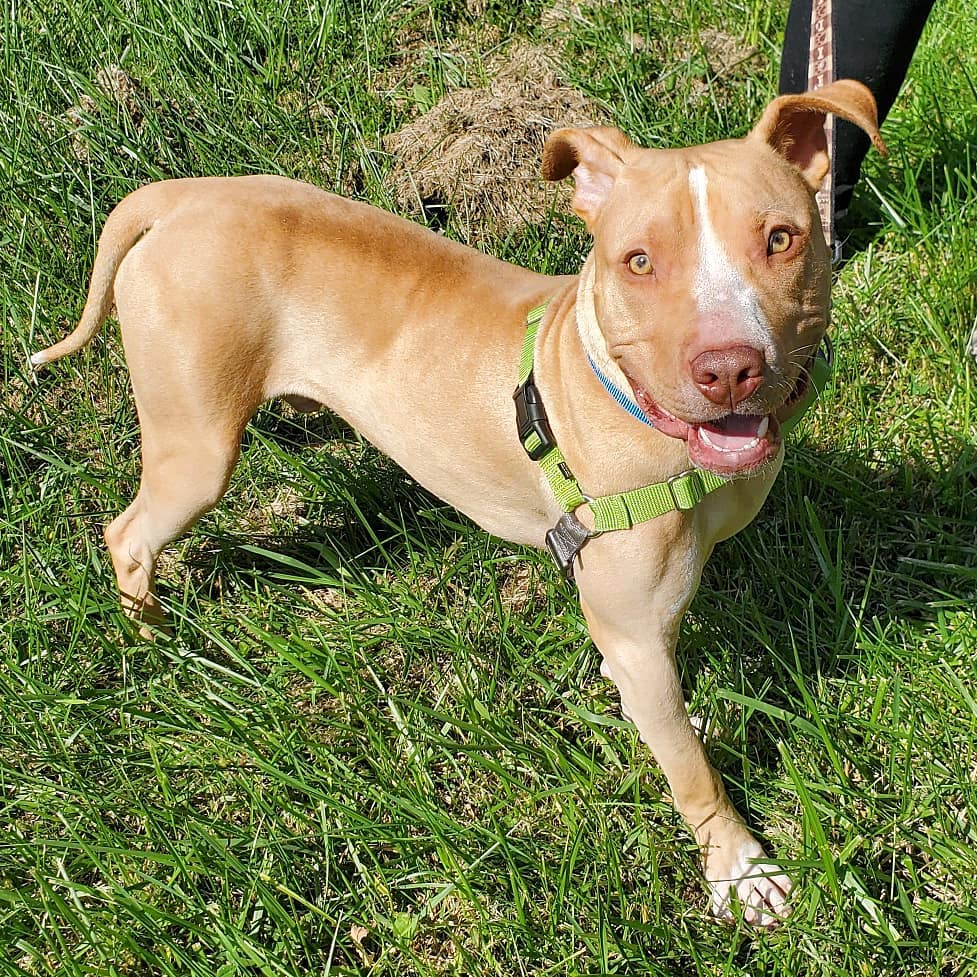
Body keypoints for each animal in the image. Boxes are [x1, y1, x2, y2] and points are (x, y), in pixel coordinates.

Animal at [32, 82, 884, 924]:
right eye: (638, 261)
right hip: (196, 451)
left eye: (780, 239)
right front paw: (737, 869)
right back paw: (153, 635)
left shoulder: (644, 617)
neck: (616, 392)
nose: (728, 366)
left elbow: (664, 706)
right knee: (128, 533)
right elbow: (691, 772)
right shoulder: (636, 628)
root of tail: (183, 196)